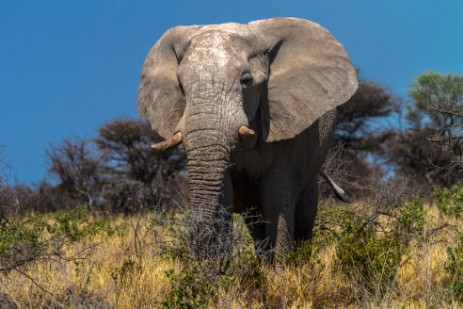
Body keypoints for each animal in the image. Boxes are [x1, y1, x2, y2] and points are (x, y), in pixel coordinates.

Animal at [138, 17, 358, 262]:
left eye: (246, 81)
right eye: (180, 86)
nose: (195, 250)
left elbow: (277, 200)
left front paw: (282, 272)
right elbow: (224, 196)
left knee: (303, 218)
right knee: (255, 225)